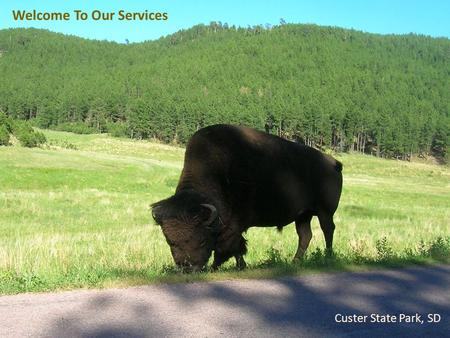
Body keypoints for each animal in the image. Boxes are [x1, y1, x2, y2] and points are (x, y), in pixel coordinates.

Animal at [153, 124, 342, 272]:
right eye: (170, 242)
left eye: (201, 240)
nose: (187, 268)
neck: (218, 175)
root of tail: (333, 163)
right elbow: (236, 247)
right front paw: (238, 265)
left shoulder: (235, 224)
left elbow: (230, 246)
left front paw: (220, 266)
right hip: (303, 215)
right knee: (305, 235)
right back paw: (295, 261)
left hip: (325, 212)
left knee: (328, 230)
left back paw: (328, 256)